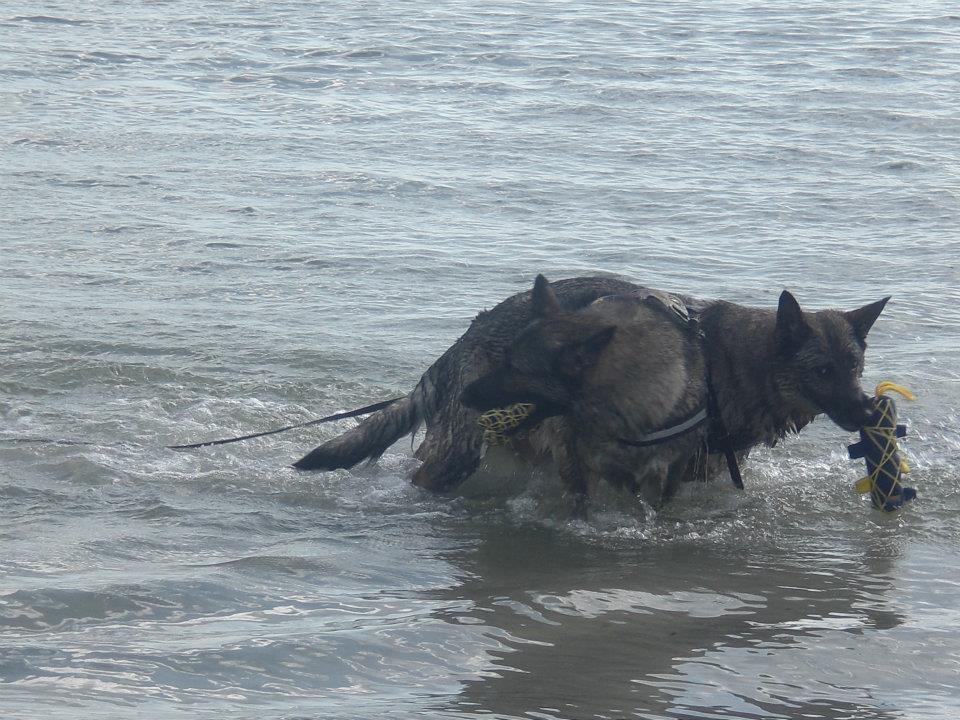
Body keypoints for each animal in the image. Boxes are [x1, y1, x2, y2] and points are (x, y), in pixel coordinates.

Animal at [296, 272, 888, 510]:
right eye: (822, 371)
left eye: (854, 366)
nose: (867, 409)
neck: (733, 359)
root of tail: (462, 340)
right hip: (465, 452)